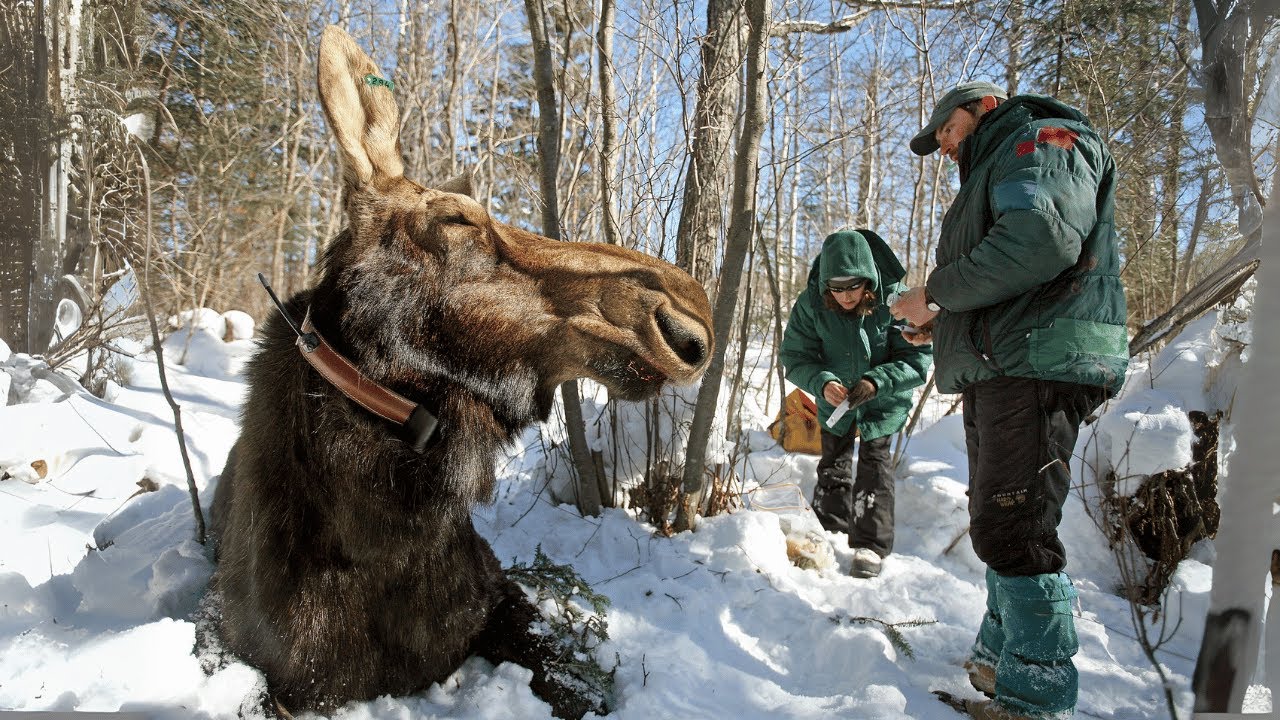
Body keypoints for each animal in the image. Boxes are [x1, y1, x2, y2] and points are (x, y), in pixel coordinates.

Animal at [208, 25, 713, 719]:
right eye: (456, 219)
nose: (686, 313)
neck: (384, 540)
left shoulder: (498, 596)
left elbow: (573, 680)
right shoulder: (258, 665)